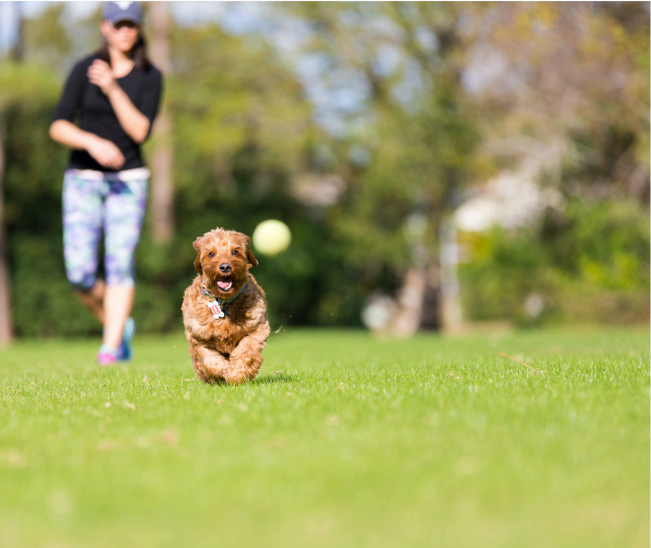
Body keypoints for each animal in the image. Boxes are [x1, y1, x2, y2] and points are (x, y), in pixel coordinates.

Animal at [181, 227, 270, 386]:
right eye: (211, 254)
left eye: (235, 252)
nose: (225, 266)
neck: (223, 302)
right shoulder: (197, 337)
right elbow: (209, 360)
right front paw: (222, 370)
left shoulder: (258, 328)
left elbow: (246, 350)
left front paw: (236, 374)